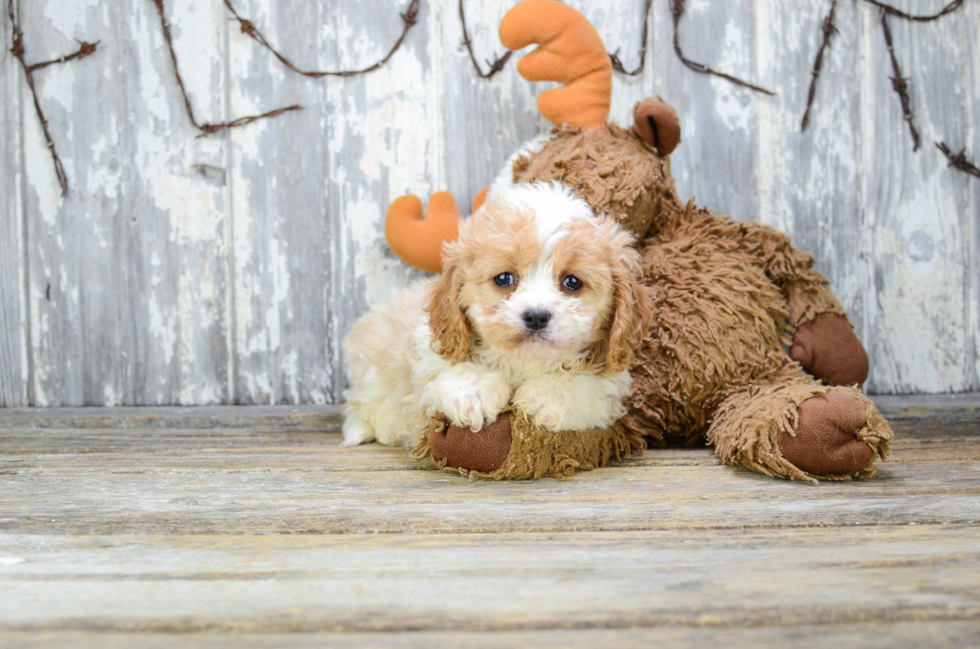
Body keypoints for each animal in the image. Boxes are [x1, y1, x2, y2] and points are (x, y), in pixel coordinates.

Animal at [340, 182, 656, 446]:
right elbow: (446, 371)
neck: (525, 363)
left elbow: (588, 386)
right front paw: (475, 392)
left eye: (572, 282)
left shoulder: (611, 384)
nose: (536, 316)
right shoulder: (430, 351)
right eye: (504, 279)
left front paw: (547, 395)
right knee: (360, 407)